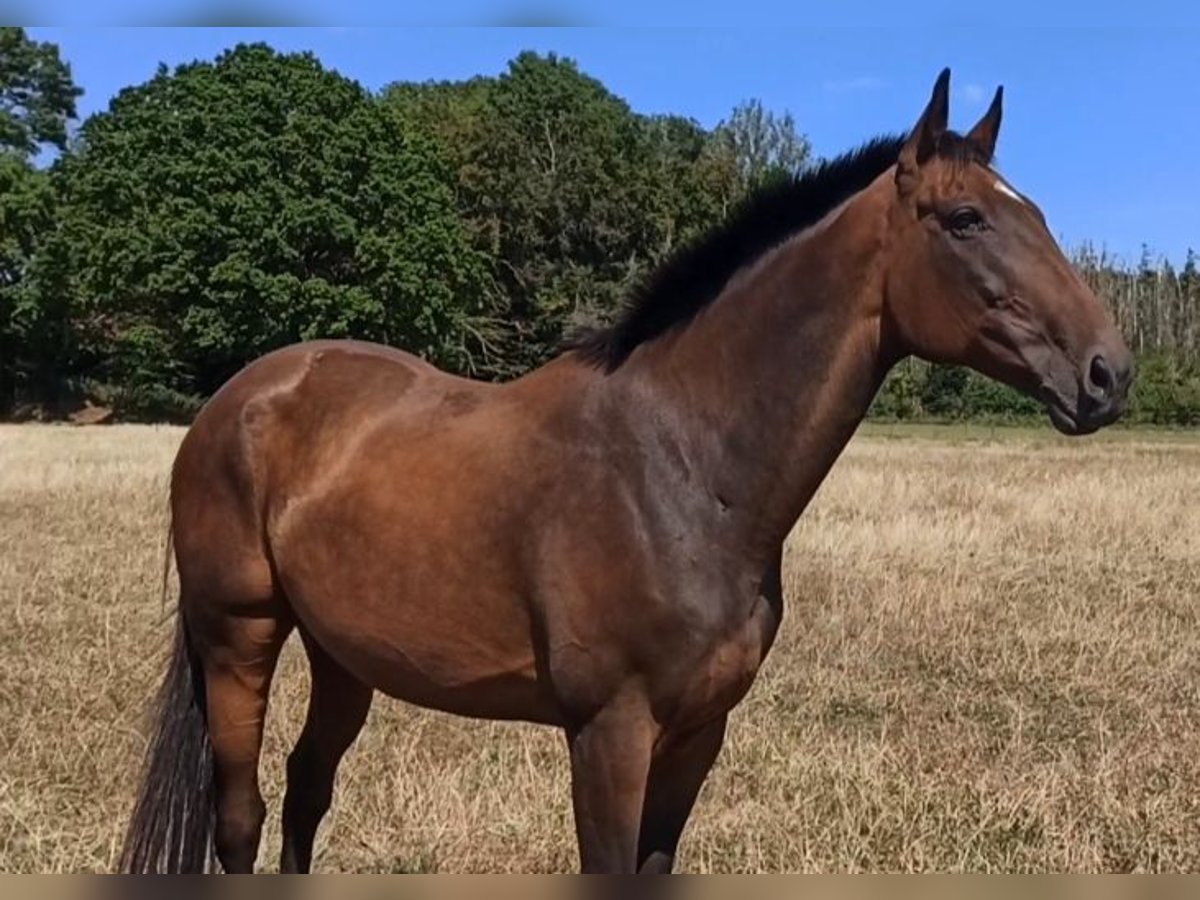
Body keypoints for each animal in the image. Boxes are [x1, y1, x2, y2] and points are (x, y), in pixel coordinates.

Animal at [117, 70, 1128, 873]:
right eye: (966, 219)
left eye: (1035, 213)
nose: (1108, 373)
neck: (680, 467)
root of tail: (240, 398)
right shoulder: (610, 734)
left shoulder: (696, 736)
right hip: (239, 636)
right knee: (241, 816)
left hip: (342, 656)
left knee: (306, 791)